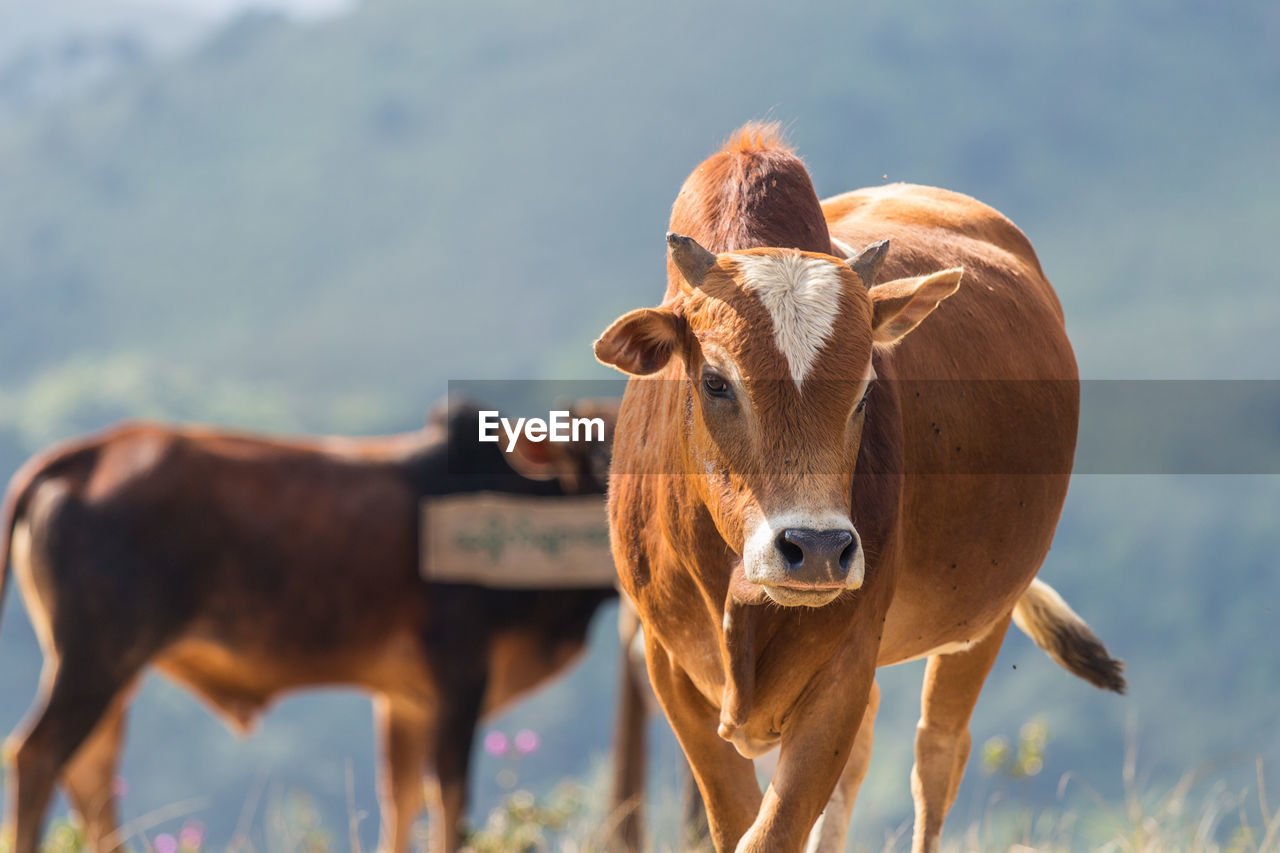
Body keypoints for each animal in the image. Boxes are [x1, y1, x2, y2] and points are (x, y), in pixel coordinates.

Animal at [0, 397, 619, 850]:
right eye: (600, 464)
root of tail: (91, 452)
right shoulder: (460, 676)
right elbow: (450, 800)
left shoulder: (406, 699)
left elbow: (401, 800)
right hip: (97, 657)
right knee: (39, 756)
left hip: (109, 666)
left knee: (90, 769)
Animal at [588, 124, 1121, 850]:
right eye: (716, 382)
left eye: (866, 387)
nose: (815, 550)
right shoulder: (669, 667)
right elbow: (738, 825)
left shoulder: (846, 662)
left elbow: (773, 831)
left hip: (984, 614)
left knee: (936, 755)